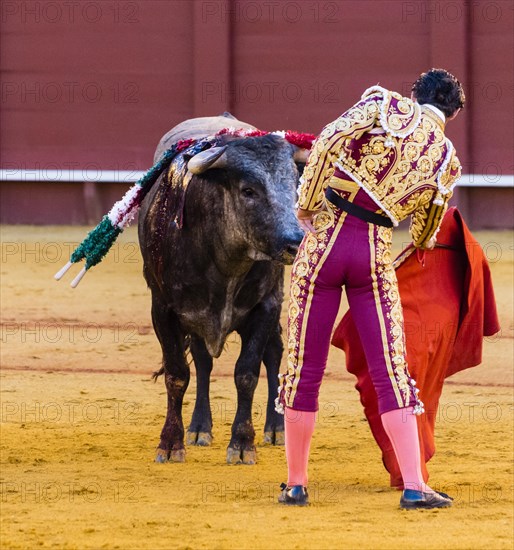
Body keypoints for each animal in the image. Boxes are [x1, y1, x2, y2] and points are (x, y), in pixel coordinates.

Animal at [136, 115, 304, 466]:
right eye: (248, 190)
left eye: (294, 185)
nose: (294, 242)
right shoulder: (163, 310)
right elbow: (177, 373)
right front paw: (170, 443)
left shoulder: (266, 306)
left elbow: (247, 372)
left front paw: (242, 443)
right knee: (202, 361)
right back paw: (199, 427)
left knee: (272, 353)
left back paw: (276, 428)